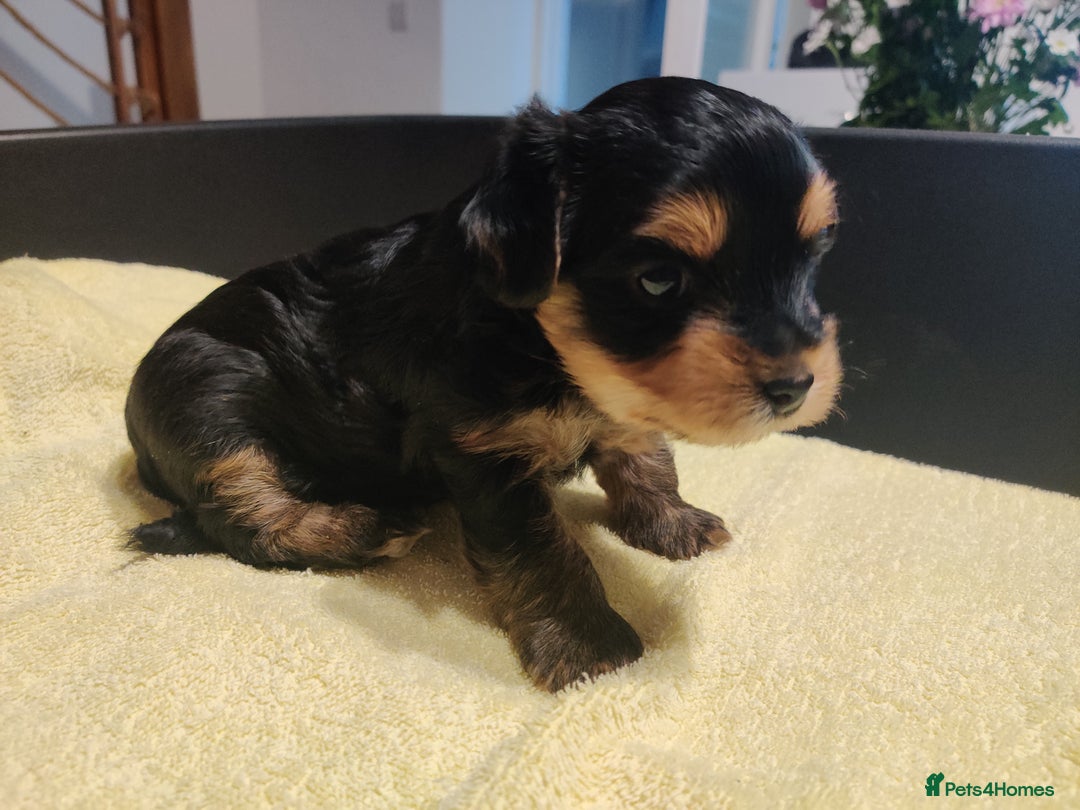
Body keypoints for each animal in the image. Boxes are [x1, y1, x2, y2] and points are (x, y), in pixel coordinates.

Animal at [125, 77, 842, 692]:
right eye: (660, 280)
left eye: (811, 260)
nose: (794, 386)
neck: (542, 345)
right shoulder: (484, 450)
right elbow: (542, 549)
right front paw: (590, 647)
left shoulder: (618, 393)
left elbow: (643, 454)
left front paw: (675, 522)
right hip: (206, 400)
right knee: (242, 517)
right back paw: (363, 529)